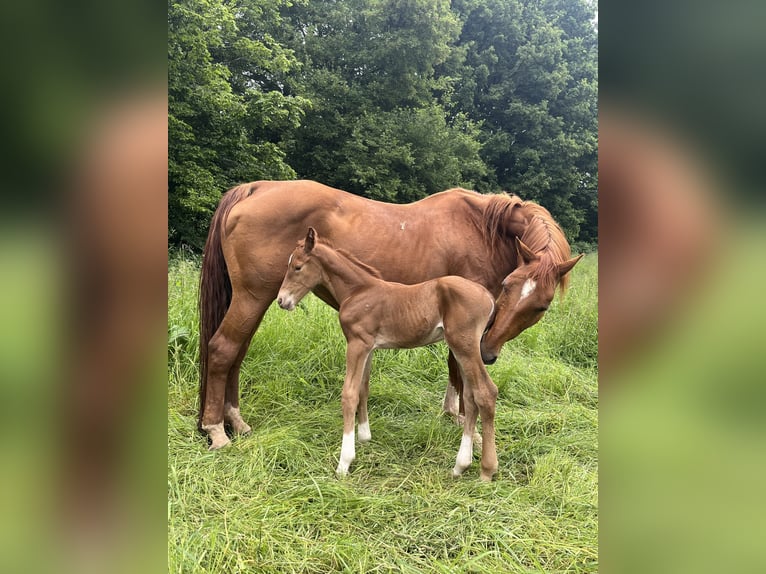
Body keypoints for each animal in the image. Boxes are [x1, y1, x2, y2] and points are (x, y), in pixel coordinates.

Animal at [198, 180, 584, 450]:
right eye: (507, 286)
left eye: (540, 306)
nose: (489, 352)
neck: (481, 230)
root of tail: (257, 187)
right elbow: (459, 367)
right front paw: (462, 420)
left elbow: (455, 366)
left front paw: (453, 412)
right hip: (252, 298)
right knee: (222, 350)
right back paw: (217, 430)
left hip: (256, 302)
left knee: (236, 354)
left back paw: (235, 421)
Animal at [280, 230, 500, 482]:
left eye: (297, 267)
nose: (281, 300)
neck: (358, 291)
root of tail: (488, 296)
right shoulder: (369, 347)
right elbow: (363, 388)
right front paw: (364, 436)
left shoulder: (356, 344)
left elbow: (349, 394)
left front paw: (344, 462)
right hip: (460, 348)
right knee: (471, 397)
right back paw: (460, 466)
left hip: (464, 346)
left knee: (485, 392)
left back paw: (486, 470)